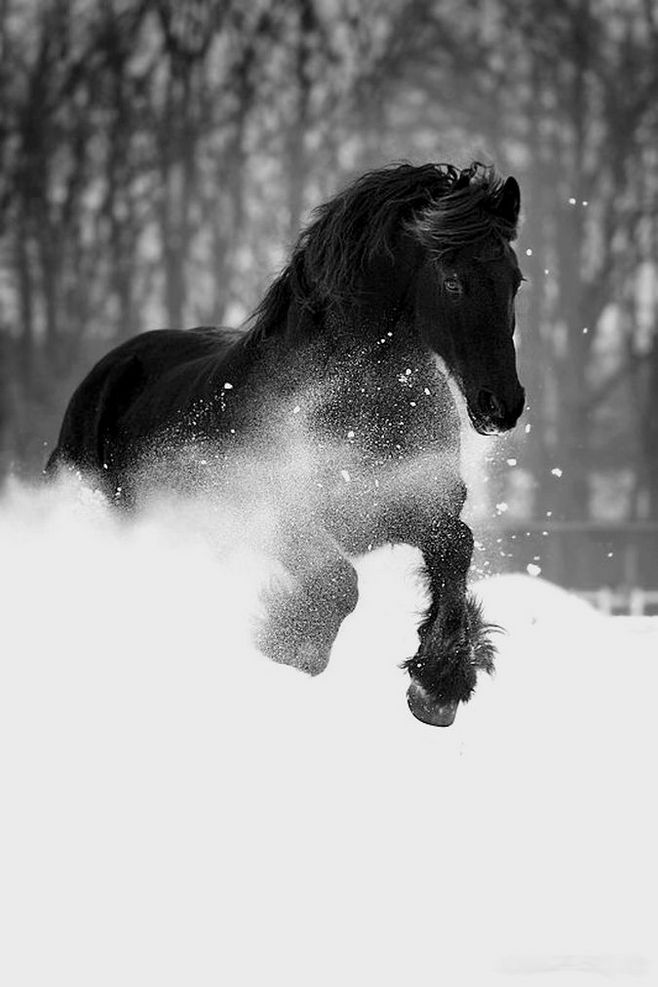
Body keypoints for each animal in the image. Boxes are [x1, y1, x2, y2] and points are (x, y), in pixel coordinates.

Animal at [46, 161, 525, 726]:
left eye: (515, 280)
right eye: (452, 282)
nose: (502, 404)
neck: (359, 400)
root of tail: (111, 367)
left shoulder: (414, 505)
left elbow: (456, 552)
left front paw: (439, 684)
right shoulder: (278, 514)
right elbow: (339, 584)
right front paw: (289, 644)